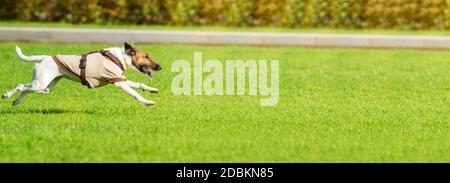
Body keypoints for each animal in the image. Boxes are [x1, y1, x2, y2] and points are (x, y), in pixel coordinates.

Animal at [0, 42, 160, 106]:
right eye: (146, 56)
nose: (160, 67)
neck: (119, 57)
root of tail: (45, 57)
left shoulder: (120, 79)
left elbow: (140, 84)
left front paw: (152, 89)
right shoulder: (120, 83)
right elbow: (136, 94)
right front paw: (147, 102)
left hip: (44, 87)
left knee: (25, 88)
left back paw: (16, 101)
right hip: (40, 84)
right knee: (20, 86)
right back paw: (7, 95)